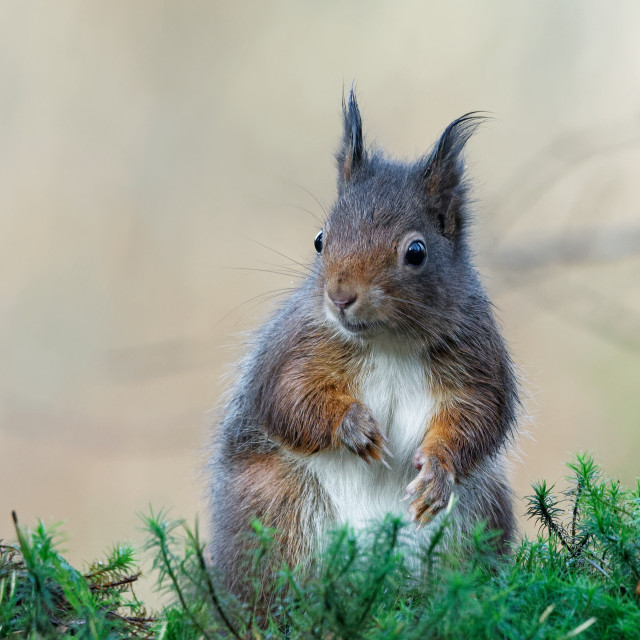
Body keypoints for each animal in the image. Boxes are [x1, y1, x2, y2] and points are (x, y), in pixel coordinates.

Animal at [209, 91, 520, 600]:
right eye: (320, 239)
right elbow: (285, 396)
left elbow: (479, 416)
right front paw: (353, 426)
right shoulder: (295, 346)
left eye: (416, 252)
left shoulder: (476, 355)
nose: (339, 297)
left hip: (475, 514)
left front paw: (438, 470)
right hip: (276, 507)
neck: (388, 343)